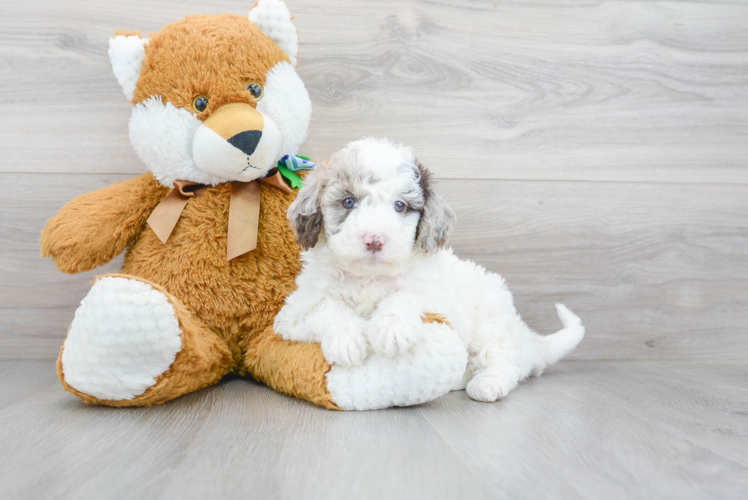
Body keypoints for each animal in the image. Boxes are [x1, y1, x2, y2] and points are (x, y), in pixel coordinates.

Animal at [274, 138, 584, 402]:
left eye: (400, 206)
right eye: (348, 202)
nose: (374, 240)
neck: (369, 277)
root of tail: (525, 338)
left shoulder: (436, 298)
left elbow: (407, 295)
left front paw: (392, 327)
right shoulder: (293, 314)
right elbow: (326, 307)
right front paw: (347, 338)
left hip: (492, 321)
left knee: (505, 360)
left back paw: (488, 383)